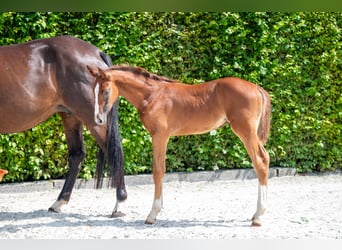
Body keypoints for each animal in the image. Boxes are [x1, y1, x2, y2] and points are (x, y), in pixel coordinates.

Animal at [0, 36, 127, 218]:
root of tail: (96, 53)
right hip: (70, 115)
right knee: (77, 155)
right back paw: (59, 202)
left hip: (92, 118)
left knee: (113, 150)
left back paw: (120, 204)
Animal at [89, 64, 272, 227]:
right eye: (94, 90)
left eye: (105, 91)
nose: (98, 119)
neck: (152, 95)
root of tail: (257, 88)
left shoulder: (160, 136)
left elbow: (158, 170)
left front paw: (153, 214)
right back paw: (256, 214)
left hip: (245, 131)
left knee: (261, 161)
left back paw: (258, 216)